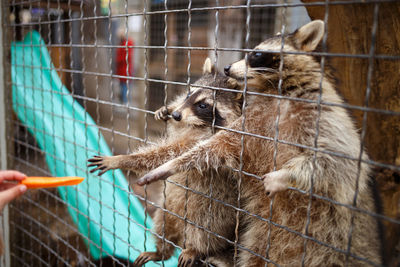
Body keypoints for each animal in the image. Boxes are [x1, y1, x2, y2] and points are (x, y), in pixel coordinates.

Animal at [89, 59, 242, 267]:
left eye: (203, 105)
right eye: (189, 94)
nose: (177, 115)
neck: (200, 125)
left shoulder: (210, 140)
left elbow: (169, 154)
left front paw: (122, 160)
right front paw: (167, 109)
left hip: (216, 213)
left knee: (205, 231)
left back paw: (195, 249)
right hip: (167, 208)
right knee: (162, 222)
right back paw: (161, 251)